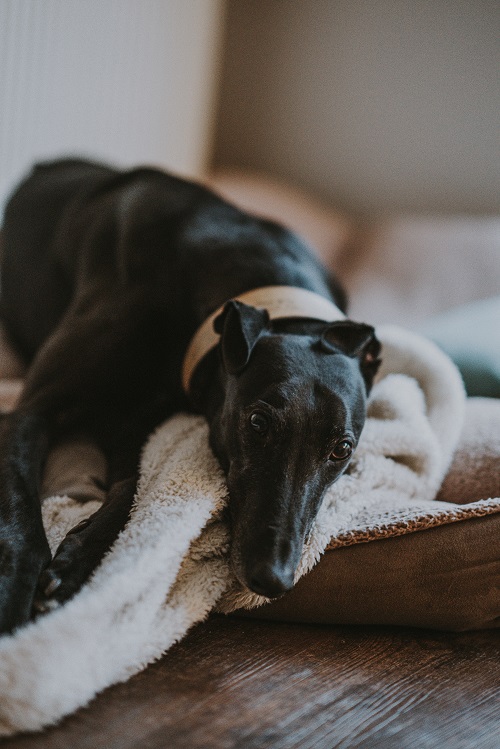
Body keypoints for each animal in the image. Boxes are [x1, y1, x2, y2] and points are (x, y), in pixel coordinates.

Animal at [0, 158, 378, 632]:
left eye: (341, 450)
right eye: (258, 422)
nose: (272, 579)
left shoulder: (134, 424)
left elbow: (134, 485)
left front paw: (73, 563)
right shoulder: (30, 413)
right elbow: (19, 513)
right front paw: (17, 594)